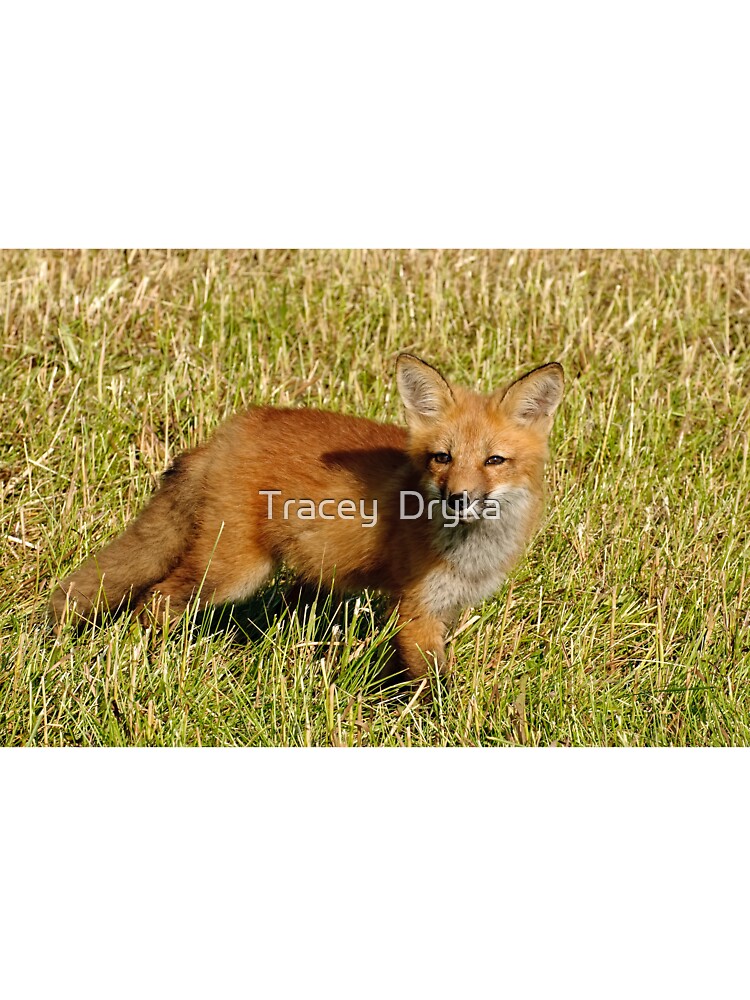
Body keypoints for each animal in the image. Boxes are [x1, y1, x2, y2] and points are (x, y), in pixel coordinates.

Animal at [50, 355, 564, 680]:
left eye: (494, 461)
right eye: (443, 457)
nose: (457, 498)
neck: (470, 550)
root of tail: (225, 434)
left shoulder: (445, 608)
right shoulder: (415, 611)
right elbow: (435, 685)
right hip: (230, 572)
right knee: (153, 602)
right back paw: (154, 661)